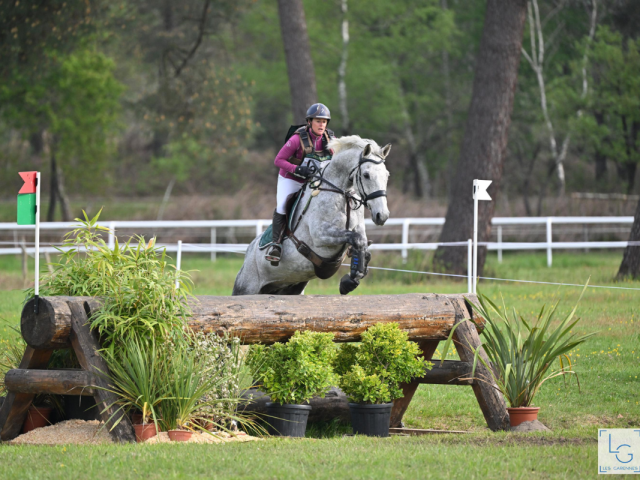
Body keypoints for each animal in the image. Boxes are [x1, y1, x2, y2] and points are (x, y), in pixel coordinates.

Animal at [231, 133, 390, 294]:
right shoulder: (320, 235)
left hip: (292, 287)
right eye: (366, 175)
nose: (382, 215)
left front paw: (350, 280)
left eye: (387, 175)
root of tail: (248, 252)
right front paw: (350, 280)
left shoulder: (357, 231)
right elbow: (357, 239)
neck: (342, 194)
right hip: (246, 288)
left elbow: (363, 245)